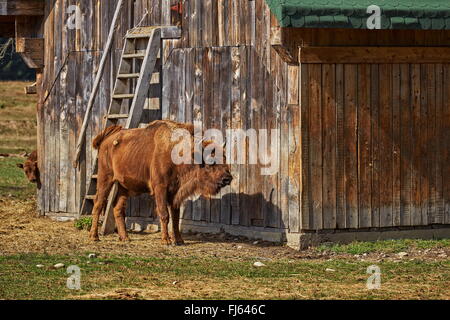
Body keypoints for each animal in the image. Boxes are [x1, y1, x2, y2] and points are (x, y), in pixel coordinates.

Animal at [90, 120, 234, 245]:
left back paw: (125, 238)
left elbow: (175, 217)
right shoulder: (160, 188)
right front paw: (166, 240)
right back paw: (94, 236)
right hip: (105, 178)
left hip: (123, 186)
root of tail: (107, 138)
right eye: (210, 162)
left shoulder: (176, 193)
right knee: (98, 204)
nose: (227, 178)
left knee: (118, 208)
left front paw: (179, 240)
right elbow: (164, 214)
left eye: (224, 158)